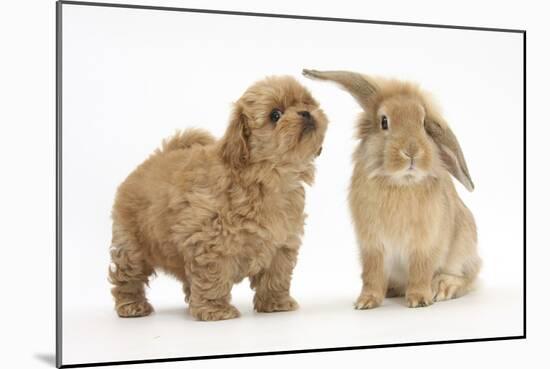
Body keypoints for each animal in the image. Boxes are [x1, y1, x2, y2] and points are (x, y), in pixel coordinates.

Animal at [110, 75, 330, 320]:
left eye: (307, 102)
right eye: (275, 115)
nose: (305, 113)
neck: (266, 179)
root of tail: (152, 159)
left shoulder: (281, 242)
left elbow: (276, 276)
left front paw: (276, 303)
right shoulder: (210, 242)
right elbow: (212, 277)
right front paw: (216, 310)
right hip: (132, 245)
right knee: (127, 276)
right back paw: (132, 306)